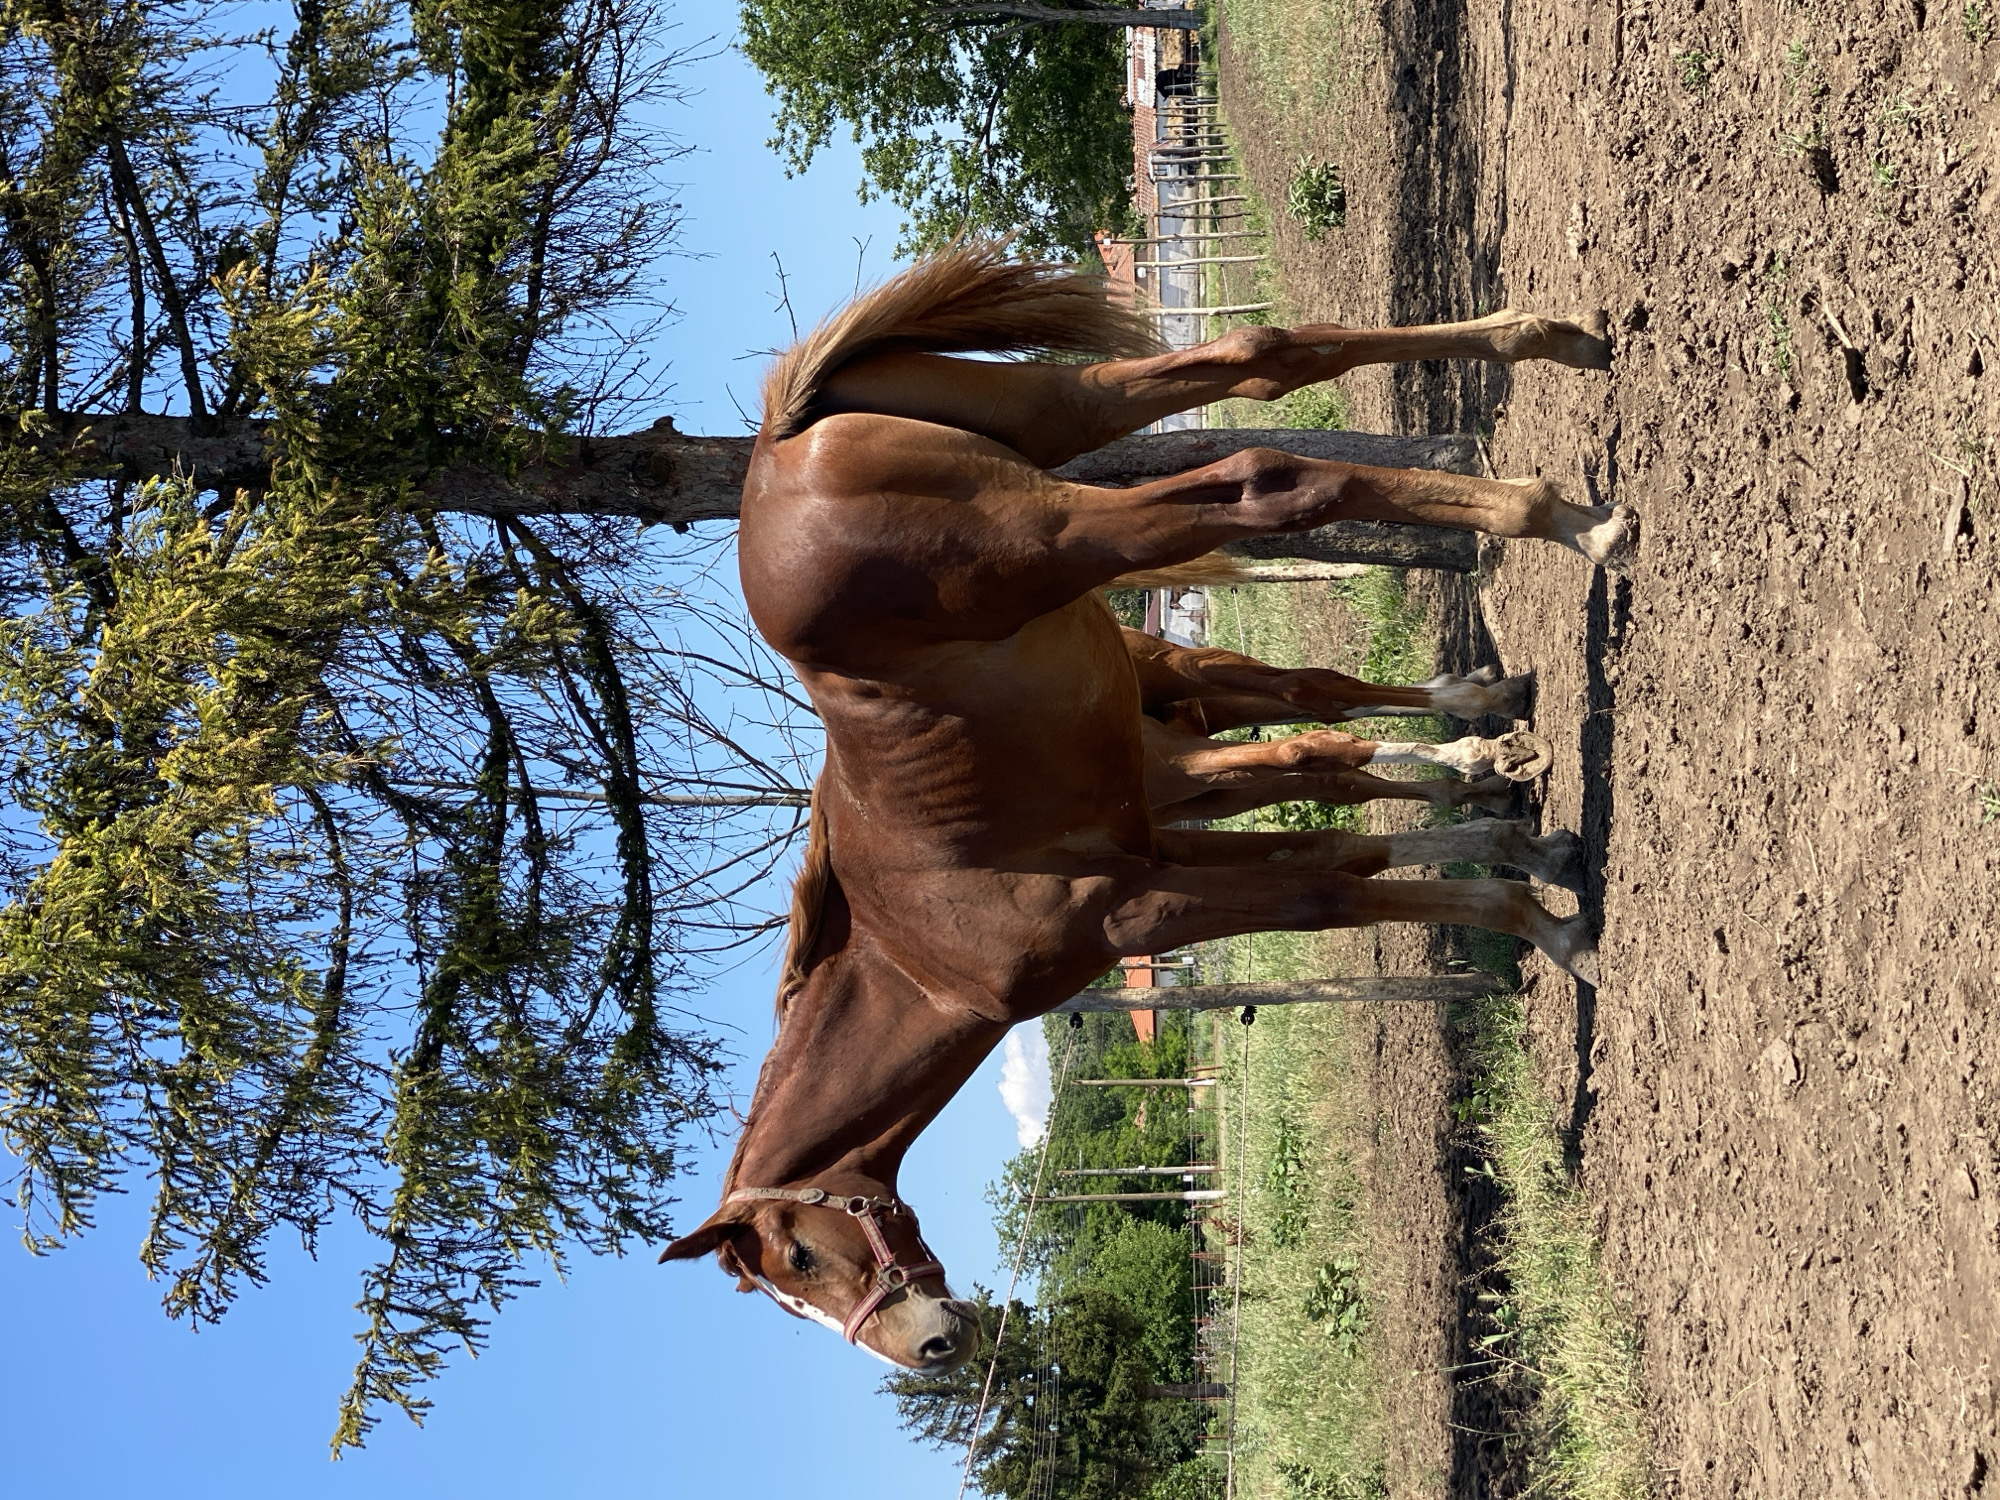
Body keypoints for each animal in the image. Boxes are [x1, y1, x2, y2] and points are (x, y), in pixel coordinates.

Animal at [659, 243, 1634, 1371]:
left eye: (799, 1261)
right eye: (794, 1289)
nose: (930, 1348)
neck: (924, 950)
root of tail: (781, 446)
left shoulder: (1138, 907)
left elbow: (1324, 882)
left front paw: (1552, 929)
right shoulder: (1164, 842)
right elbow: (1343, 835)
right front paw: (1523, 837)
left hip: (1051, 531)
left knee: (1267, 483)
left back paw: (1569, 520)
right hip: (1060, 415)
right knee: (1257, 359)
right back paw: (1555, 350)